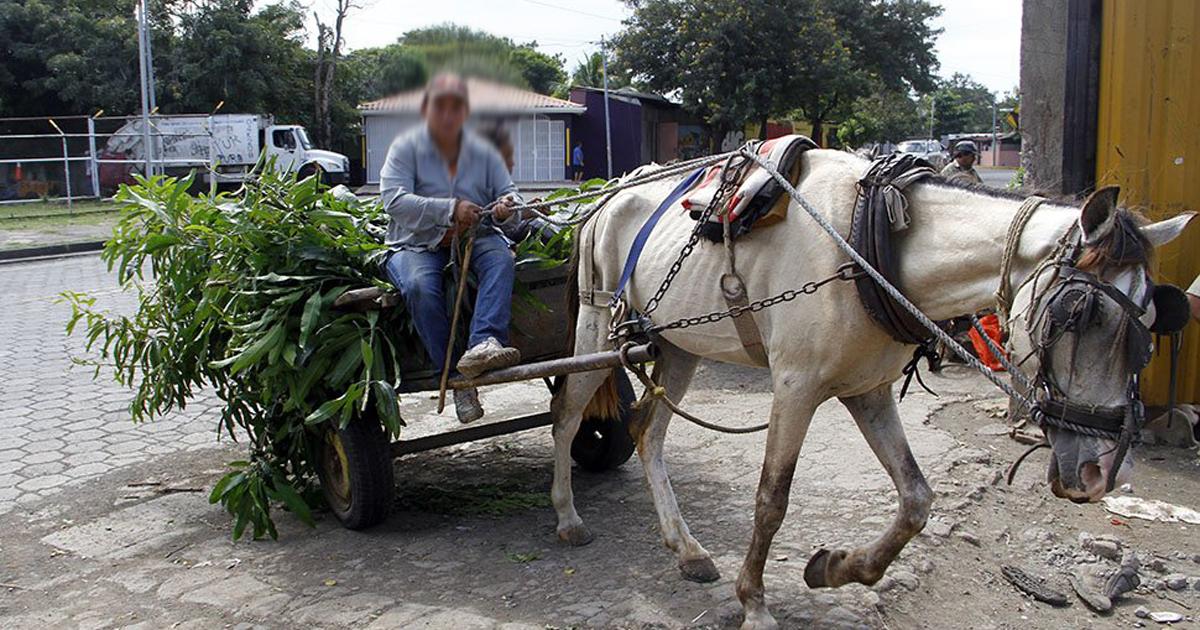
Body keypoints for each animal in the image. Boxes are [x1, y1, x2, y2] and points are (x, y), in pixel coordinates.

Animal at [549, 148, 1195, 628]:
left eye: (1150, 322)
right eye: (1077, 313)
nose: (1100, 473)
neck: (871, 242)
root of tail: (610, 192)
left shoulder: (868, 388)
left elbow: (916, 500)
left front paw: (836, 567)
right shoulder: (795, 386)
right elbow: (771, 500)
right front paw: (755, 601)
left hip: (680, 345)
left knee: (647, 432)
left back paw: (686, 549)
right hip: (595, 324)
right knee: (567, 416)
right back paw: (568, 519)